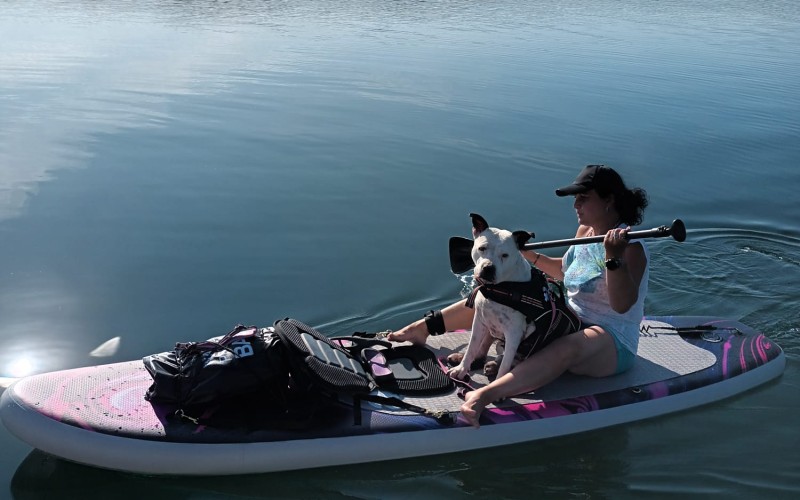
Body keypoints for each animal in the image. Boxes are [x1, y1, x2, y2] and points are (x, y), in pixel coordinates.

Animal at [450, 213, 536, 380]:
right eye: (482, 248)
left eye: (505, 255)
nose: (488, 268)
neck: (499, 288)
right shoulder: (479, 321)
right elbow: (471, 347)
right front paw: (461, 368)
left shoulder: (513, 335)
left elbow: (504, 369)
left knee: (510, 361)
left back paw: (493, 366)